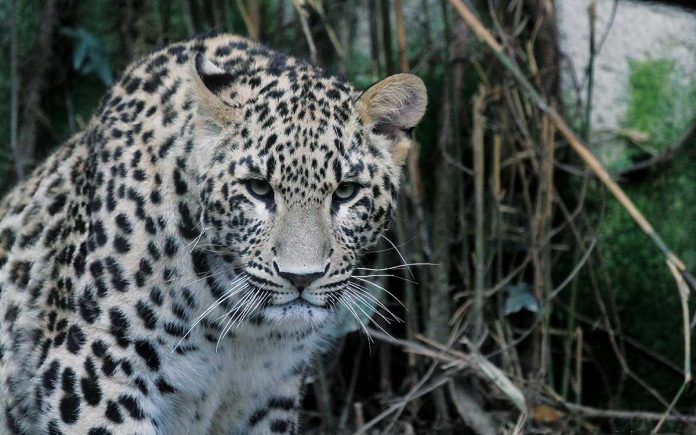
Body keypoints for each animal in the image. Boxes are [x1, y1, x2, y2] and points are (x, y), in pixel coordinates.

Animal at [0, 33, 426, 434]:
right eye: (258, 189)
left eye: (346, 192)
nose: (301, 278)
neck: (241, 328)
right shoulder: (94, 367)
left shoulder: (271, 395)